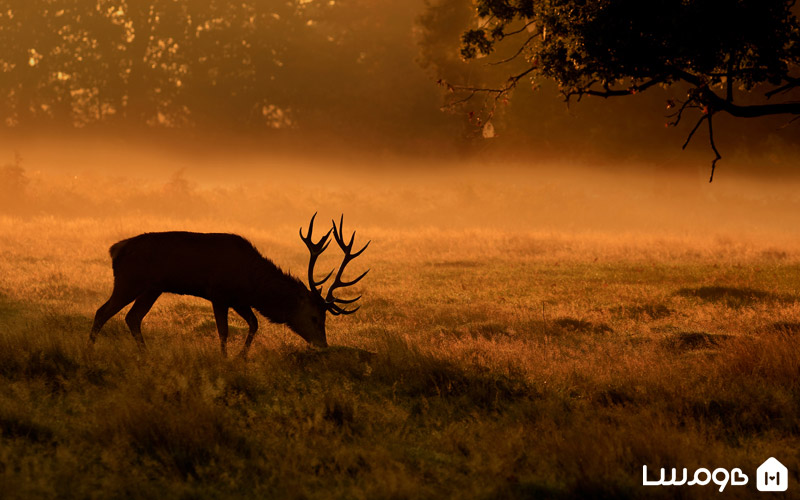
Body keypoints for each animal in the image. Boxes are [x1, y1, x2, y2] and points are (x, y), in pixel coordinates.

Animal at [88, 213, 368, 358]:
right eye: (313, 317)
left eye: (325, 317)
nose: (323, 345)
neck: (252, 284)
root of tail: (115, 249)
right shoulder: (219, 293)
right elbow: (223, 330)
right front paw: (224, 358)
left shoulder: (240, 300)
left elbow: (254, 324)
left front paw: (241, 357)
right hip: (129, 280)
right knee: (103, 311)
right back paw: (89, 352)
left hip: (152, 288)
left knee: (133, 317)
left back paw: (146, 356)